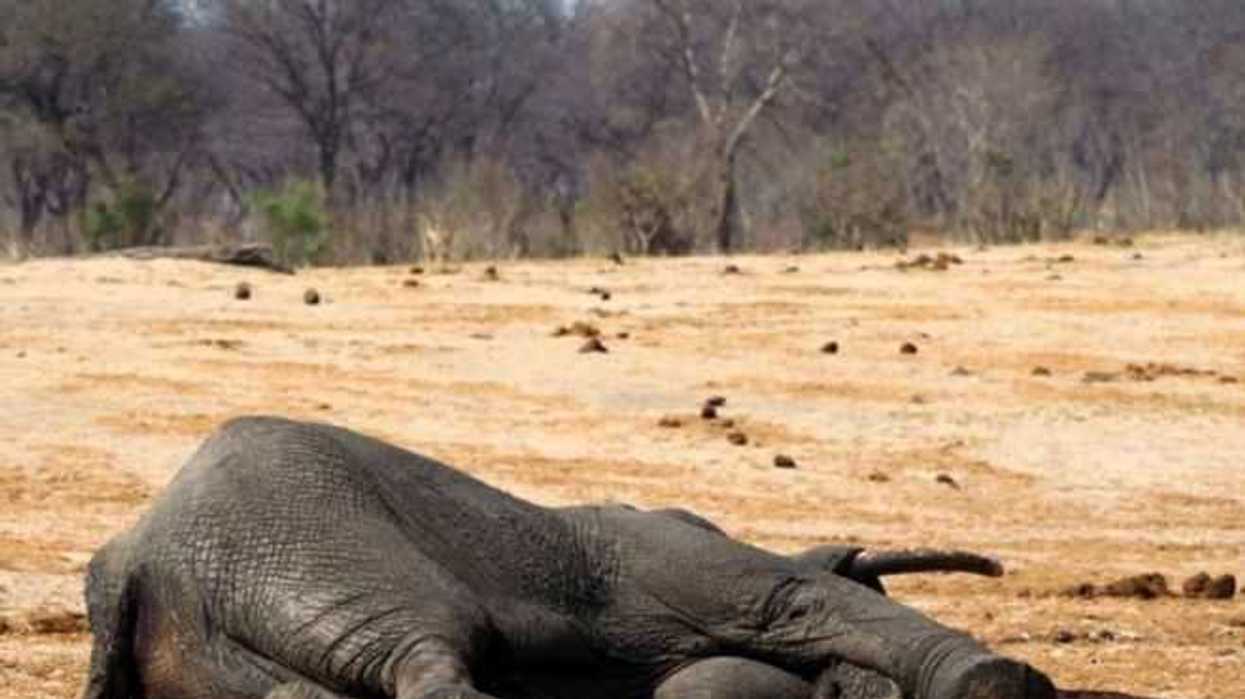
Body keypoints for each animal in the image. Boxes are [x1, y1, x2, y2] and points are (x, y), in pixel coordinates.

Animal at [81, 416, 1055, 699]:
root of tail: (134, 556)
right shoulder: (660, 557)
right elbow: (788, 597)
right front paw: (997, 684)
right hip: (303, 527)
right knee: (433, 649)